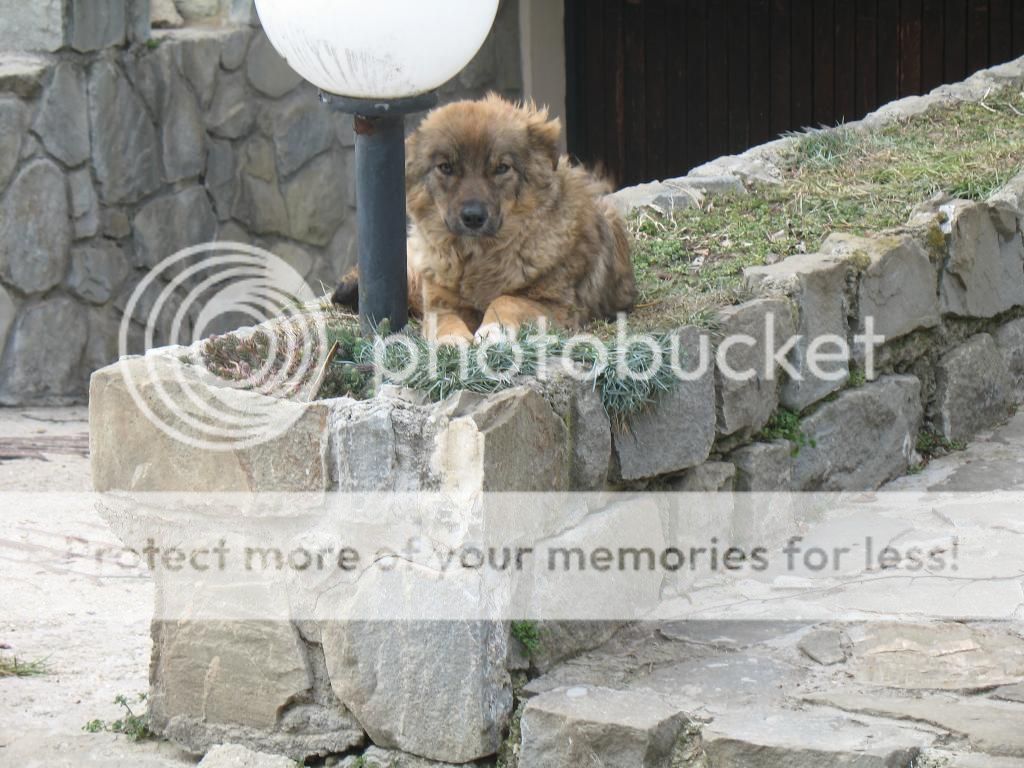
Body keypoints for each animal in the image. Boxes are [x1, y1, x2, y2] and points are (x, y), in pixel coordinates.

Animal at [331, 94, 634, 342]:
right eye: (446, 167)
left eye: (501, 168)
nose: (473, 217)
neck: (479, 256)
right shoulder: (441, 301)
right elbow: (444, 322)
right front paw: (451, 341)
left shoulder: (553, 302)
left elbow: (506, 300)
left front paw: (493, 329)